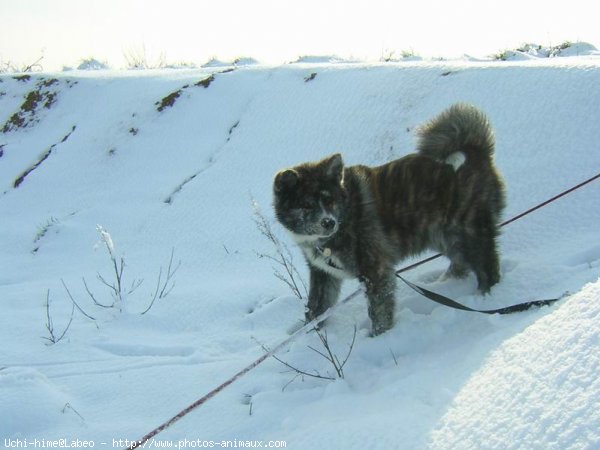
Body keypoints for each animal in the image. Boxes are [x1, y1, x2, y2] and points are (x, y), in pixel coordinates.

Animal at [274, 103, 506, 334]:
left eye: (329, 201)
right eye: (306, 205)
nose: (328, 222)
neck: (346, 213)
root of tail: (476, 150)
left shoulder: (375, 270)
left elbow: (379, 311)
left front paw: (379, 337)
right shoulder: (324, 274)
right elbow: (316, 310)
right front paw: (310, 336)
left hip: (470, 231)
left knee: (487, 267)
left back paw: (486, 298)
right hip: (446, 236)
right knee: (462, 262)